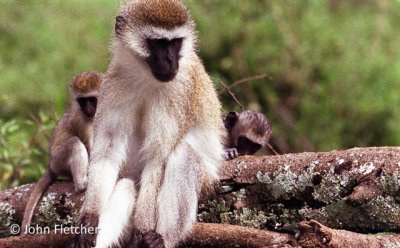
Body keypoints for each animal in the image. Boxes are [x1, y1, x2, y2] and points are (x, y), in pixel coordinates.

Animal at [20, 71, 102, 231]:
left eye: (92, 99)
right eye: (82, 101)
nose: (88, 109)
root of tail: (51, 164)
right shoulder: (81, 120)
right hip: (59, 160)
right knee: (74, 143)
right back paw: (81, 185)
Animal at [74, 0, 225, 247]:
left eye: (174, 43)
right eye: (158, 43)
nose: (170, 60)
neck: (145, 76)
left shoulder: (178, 93)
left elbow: (157, 158)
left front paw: (143, 228)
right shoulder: (115, 84)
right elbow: (107, 152)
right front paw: (89, 219)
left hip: (207, 181)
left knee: (184, 156)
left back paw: (161, 239)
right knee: (126, 185)